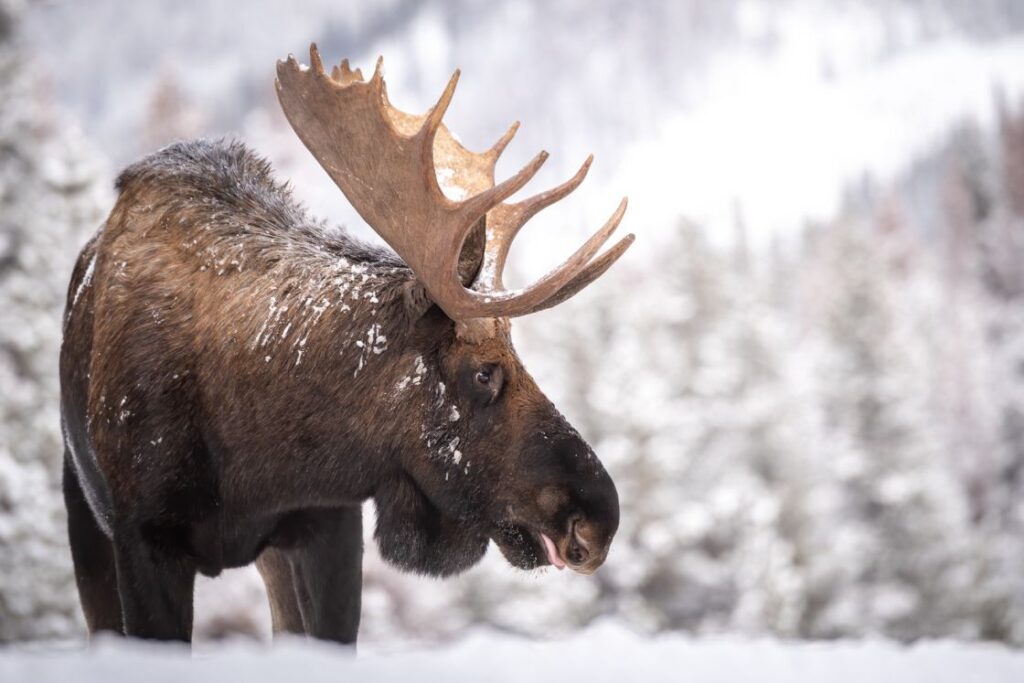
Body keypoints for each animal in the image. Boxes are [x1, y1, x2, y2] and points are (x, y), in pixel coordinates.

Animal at [59, 45, 630, 643]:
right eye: (483, 371)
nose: (598, 518)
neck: (255, 457)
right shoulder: (144, 535)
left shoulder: (328, 522)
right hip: (82, 511)